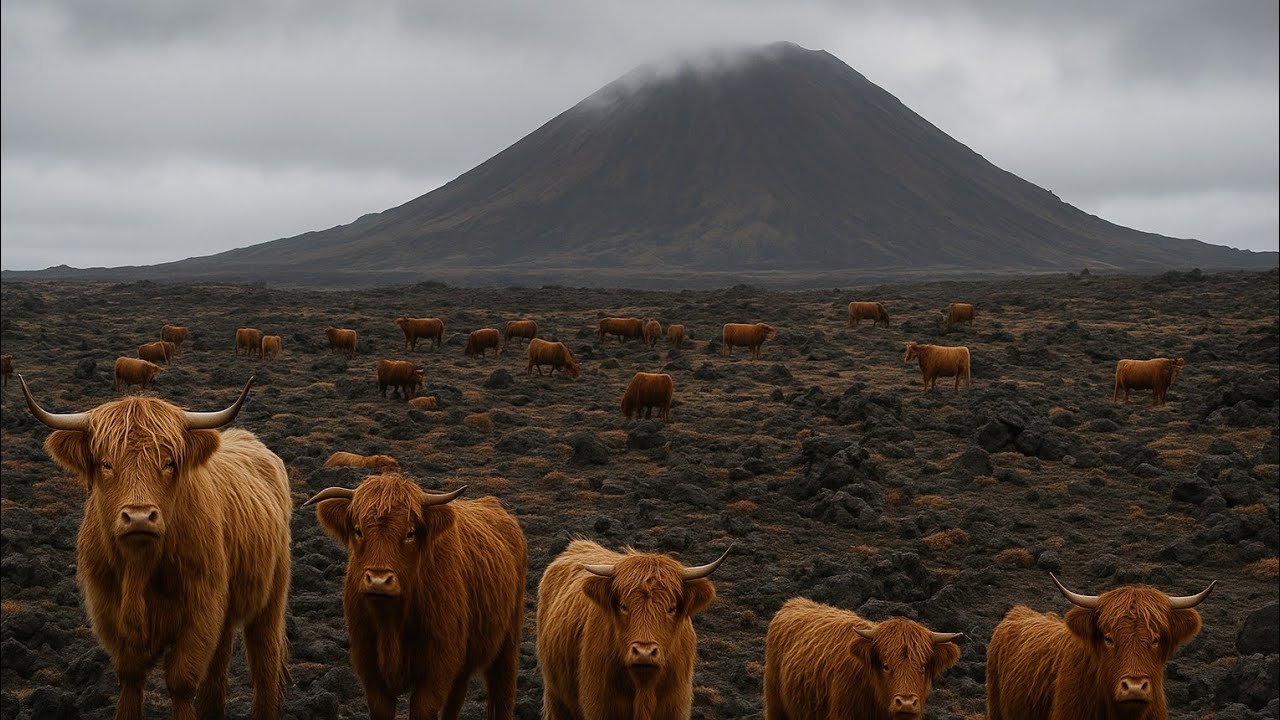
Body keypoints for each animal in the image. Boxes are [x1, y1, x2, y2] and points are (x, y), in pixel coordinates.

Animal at [19, 376, 290, 720]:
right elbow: (131, 678)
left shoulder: (200, 611)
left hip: (271, 598)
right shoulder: (109, 611)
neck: (140, 570)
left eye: (169, 463)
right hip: (226, 609)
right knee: (219, 663)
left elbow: (182, 681)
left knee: (264, 660)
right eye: (106, 464)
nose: (138, 517)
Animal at [305, 475, 526, 720]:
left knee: (503, 694)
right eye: (358, 531)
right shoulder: (371, 672)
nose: (379, 580)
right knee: (456, 697)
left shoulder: (435, 671)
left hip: (508, 644)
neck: (391, 622)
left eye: (410, 533)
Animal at [537, 539, 731, 720]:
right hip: (556, 698)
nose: (644, 652)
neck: (643, 687)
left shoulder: (675, 707)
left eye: (672, 608)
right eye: (623, 606)